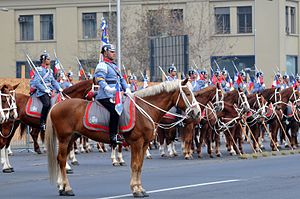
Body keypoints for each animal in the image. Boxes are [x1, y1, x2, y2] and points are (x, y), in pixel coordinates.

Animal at [46, 78, 202, 197]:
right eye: (188, 93)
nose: (198, 113)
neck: (145, 109)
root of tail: (56, 106)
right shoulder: (136, 143)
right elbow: (135, 165)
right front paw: (136, 189)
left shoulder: (145, 143)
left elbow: (140, 165)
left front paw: (140, 188)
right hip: (64, 138)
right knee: (61, 160)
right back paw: (67, 188)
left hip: (72, 137)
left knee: (61, 159)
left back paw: (62, 187)